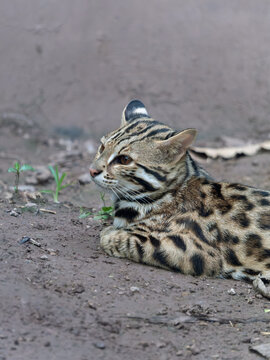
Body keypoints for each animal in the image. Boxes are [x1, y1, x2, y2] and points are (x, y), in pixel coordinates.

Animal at [89, 99, 270, 290]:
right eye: (102, 147)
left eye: (124, 160)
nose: (92, 170)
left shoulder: (196, 251)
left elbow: (123, 239)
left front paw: (111, 233)